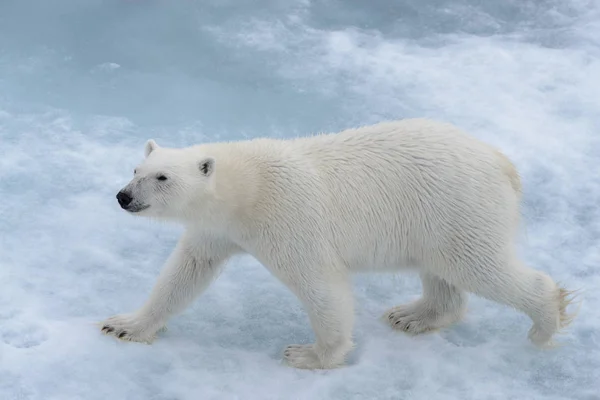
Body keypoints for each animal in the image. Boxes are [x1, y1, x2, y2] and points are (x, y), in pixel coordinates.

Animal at [101, 118, 580, 368]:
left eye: (162, 177)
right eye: (136, 168)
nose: (124, 197)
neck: (248, 187)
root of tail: (502, 162)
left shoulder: (287, 219)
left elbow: (320, 284)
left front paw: (309, 354)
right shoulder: (217, 229)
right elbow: (186, 271)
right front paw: (125, 325)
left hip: (457, 205)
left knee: (480, 266)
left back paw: (544, 323)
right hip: (435, 219)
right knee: (442, 271)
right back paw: (411, 316)